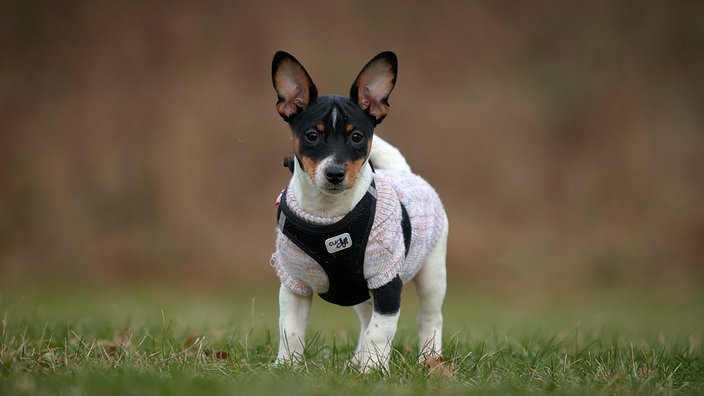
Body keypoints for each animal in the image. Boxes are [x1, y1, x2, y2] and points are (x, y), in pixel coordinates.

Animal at [266, 50, 448, 372]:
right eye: (312, 136)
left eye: (357, 137)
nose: (335, 173)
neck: (329, 217)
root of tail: (406, 173)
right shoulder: (294, 283)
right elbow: (290, 329)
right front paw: (287, 365)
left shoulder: (387, 282)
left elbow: (381, 331)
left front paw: (373, 369)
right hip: (362, 293)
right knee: (365, 321)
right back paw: (357, 359)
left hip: (433, 274)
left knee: (429, 318)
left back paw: (429, 359)